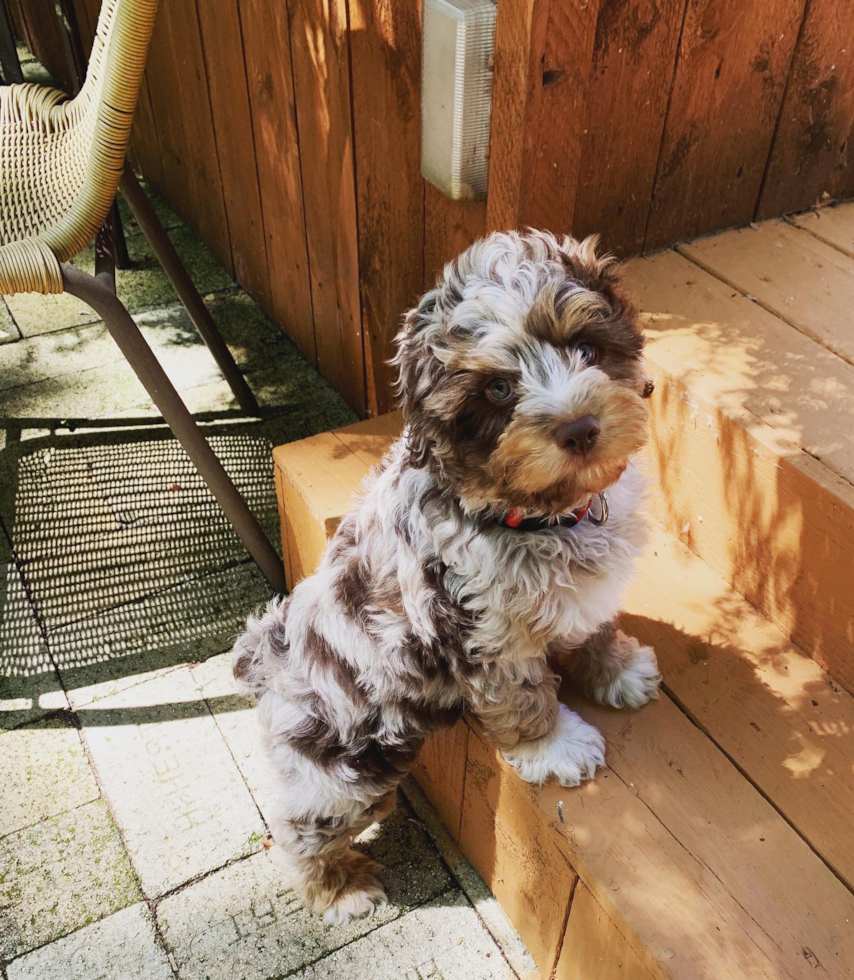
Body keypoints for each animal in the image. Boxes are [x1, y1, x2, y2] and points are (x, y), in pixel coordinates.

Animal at [232, 230, 664, 928]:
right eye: (497, 392)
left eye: (587, 349)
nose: (580, 429)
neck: (536, 515)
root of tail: (262, 658)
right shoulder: (478, 628)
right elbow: (521, 695)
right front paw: (554, 745)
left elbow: (592, 627)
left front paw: (619, 669)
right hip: (345, 767)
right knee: (304, 827)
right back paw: (339, 890)